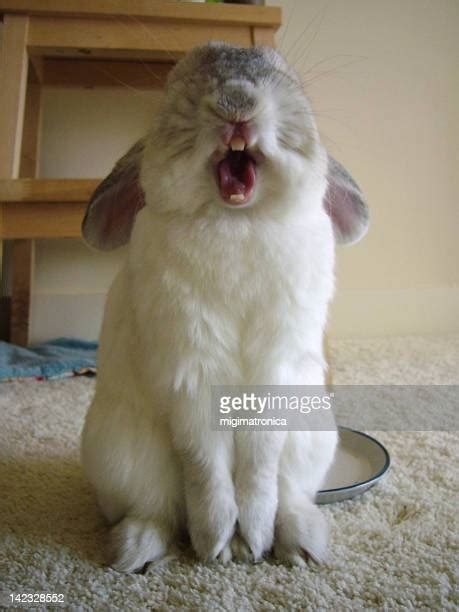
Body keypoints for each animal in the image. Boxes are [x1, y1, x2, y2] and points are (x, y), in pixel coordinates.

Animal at [82, 43, 370, 572]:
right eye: (179, 78)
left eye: (283, 73)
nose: (237, 103)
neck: (238, 219)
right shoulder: (190, 375)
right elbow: (205, 466)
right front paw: (217, 544)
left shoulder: (273, 376)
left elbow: (258, 465)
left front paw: (249, 541)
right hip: (122, 457)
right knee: (157, 510)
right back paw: (136, 552)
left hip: (312, 440)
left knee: (290, 496)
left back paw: (300, 547)